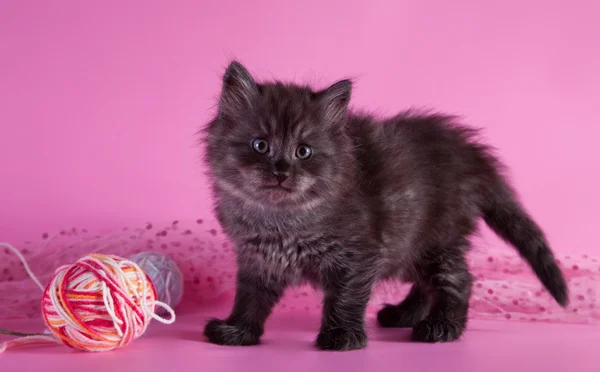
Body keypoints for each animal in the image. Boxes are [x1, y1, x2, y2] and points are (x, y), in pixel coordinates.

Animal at [200, 61, 568, 352]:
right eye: (260, 145)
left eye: (303, 151)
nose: (280, 171)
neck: (280, 219)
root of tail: (469, 153)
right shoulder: (259, 259)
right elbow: (250, 298)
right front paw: (237, 331)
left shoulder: (359, 254)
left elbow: (346, 296)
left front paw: (343, 336)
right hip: (412, 246)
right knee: (426, 285)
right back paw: (403, 314)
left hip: (437, 238)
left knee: (458, 279)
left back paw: (441, 327)